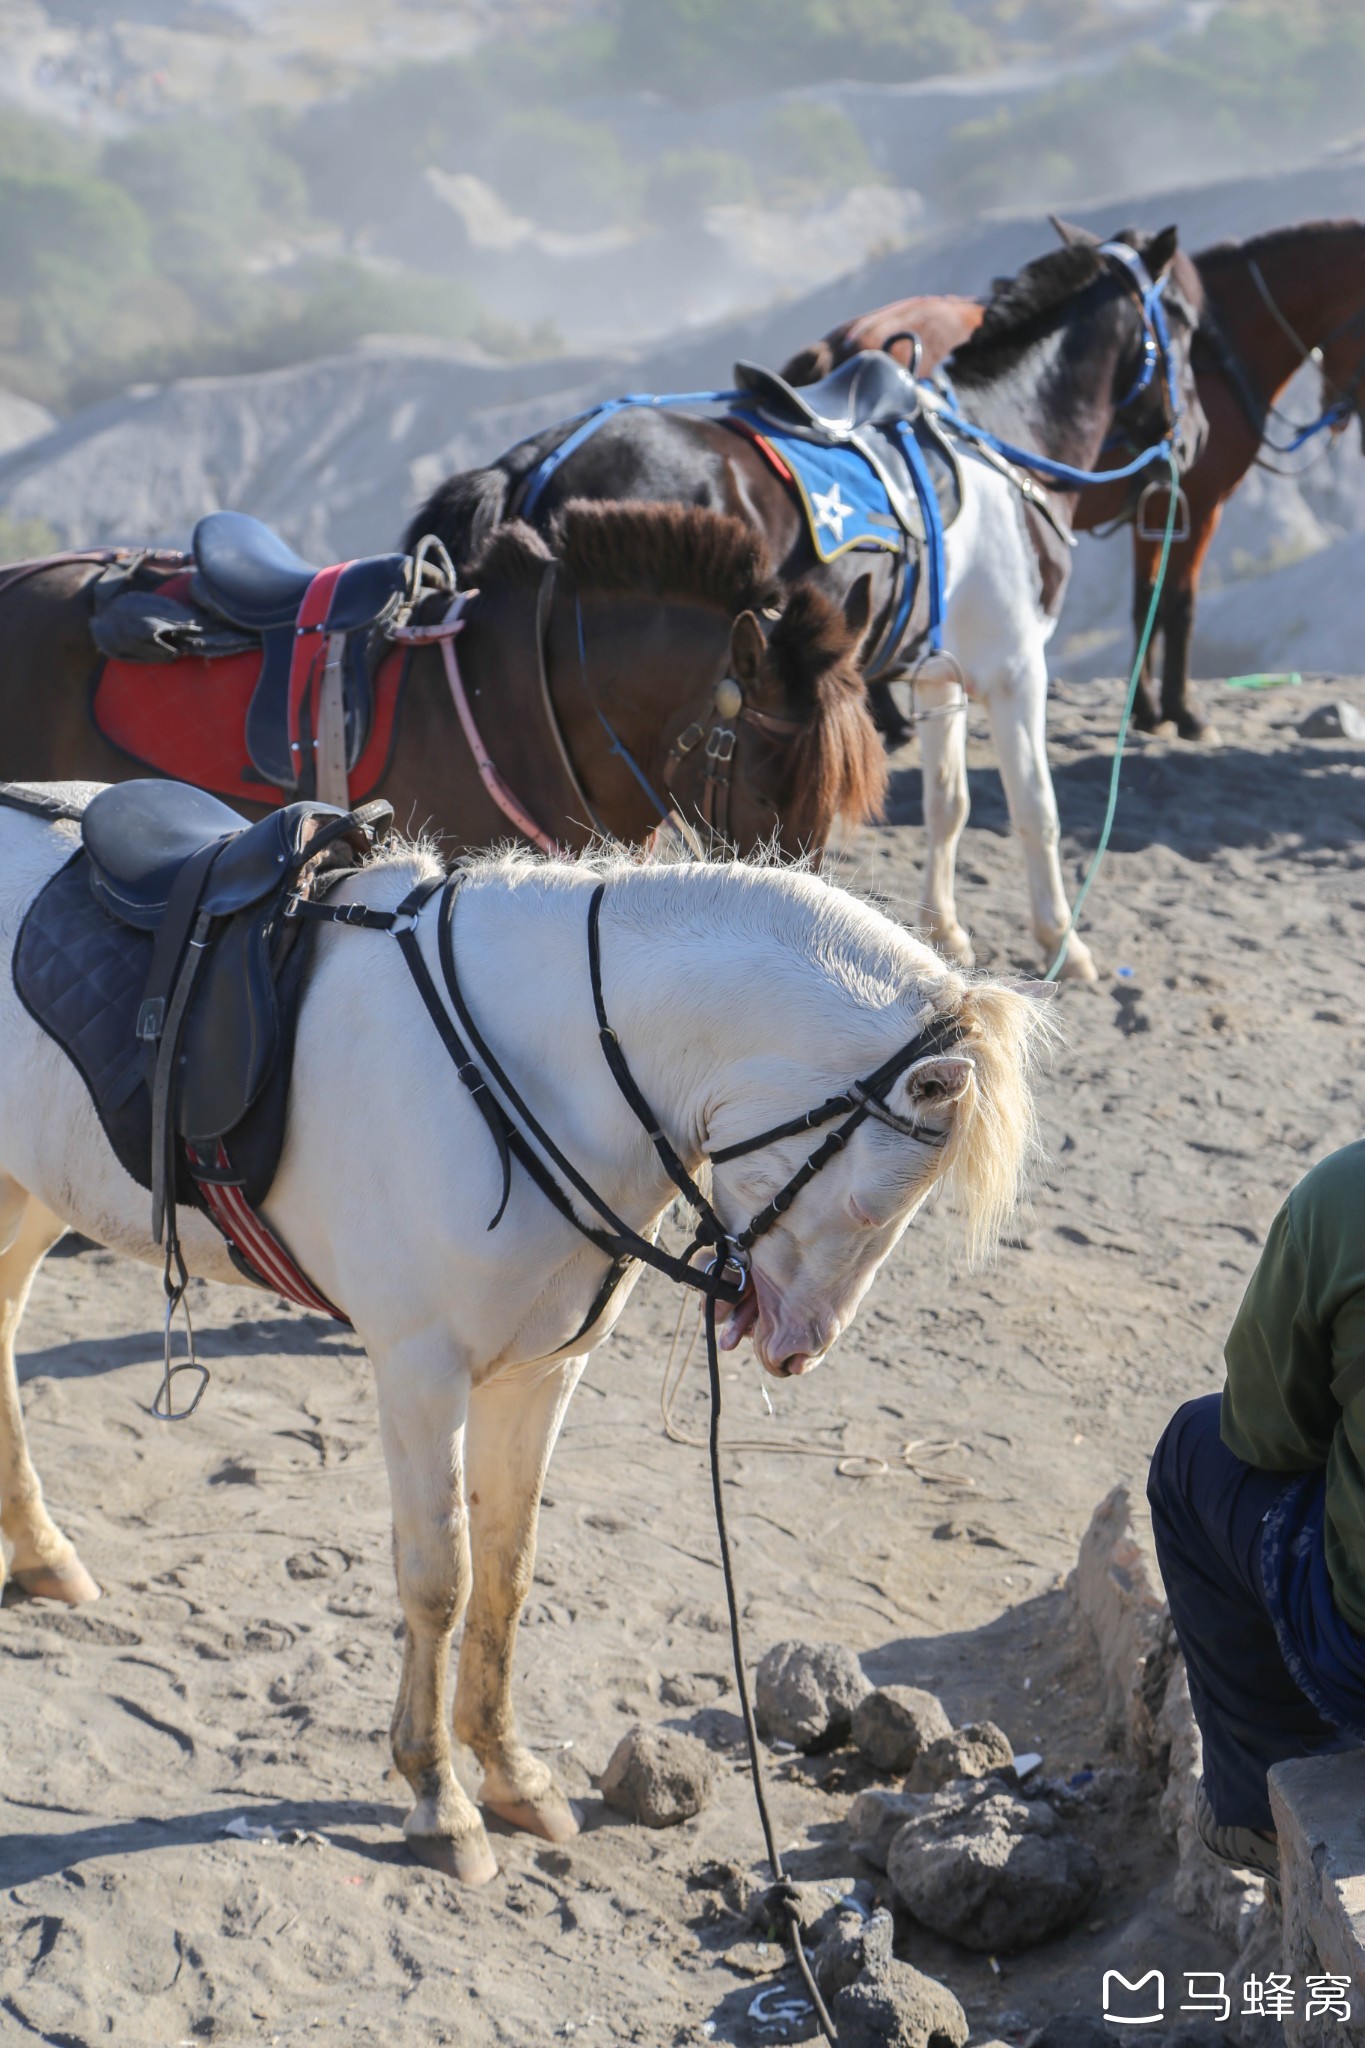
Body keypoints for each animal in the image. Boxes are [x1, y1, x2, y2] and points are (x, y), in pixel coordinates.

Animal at [0, 786, 1047, 1884]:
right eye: (872, 1201)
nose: (798, 1347)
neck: (534, 1069)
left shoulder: (540, 1373)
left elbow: (507, 1570)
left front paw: (508, 1773)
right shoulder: (419, 1371)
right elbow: (440, 1579)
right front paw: (437, 1795)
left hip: (31, 1192)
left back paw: (38, 1548)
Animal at [785, 216, 1365, 741]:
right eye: (1179, 323)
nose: (1343, 412)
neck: (1218, 354)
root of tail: (844, 340)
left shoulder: (1154, 509)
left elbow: (1145, 602)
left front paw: (1146, 708)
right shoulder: (1196, 506)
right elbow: (1179, 604)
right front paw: (1183, 711)